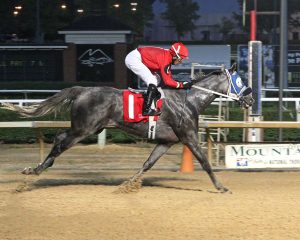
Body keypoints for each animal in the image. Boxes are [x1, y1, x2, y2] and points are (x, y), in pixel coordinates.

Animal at [1, 63, 253, 193]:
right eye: (240, 81)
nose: (250, 99)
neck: (189, 100)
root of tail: (82, 90)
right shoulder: (188, 136)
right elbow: (205, 162)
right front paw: (221, 187)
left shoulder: (166, 141)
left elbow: (148, 163)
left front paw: (128, 184)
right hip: (84, 129)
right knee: (60, 140)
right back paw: (34, 171)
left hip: (88, 128)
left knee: (59, 138)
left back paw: (36, 170)